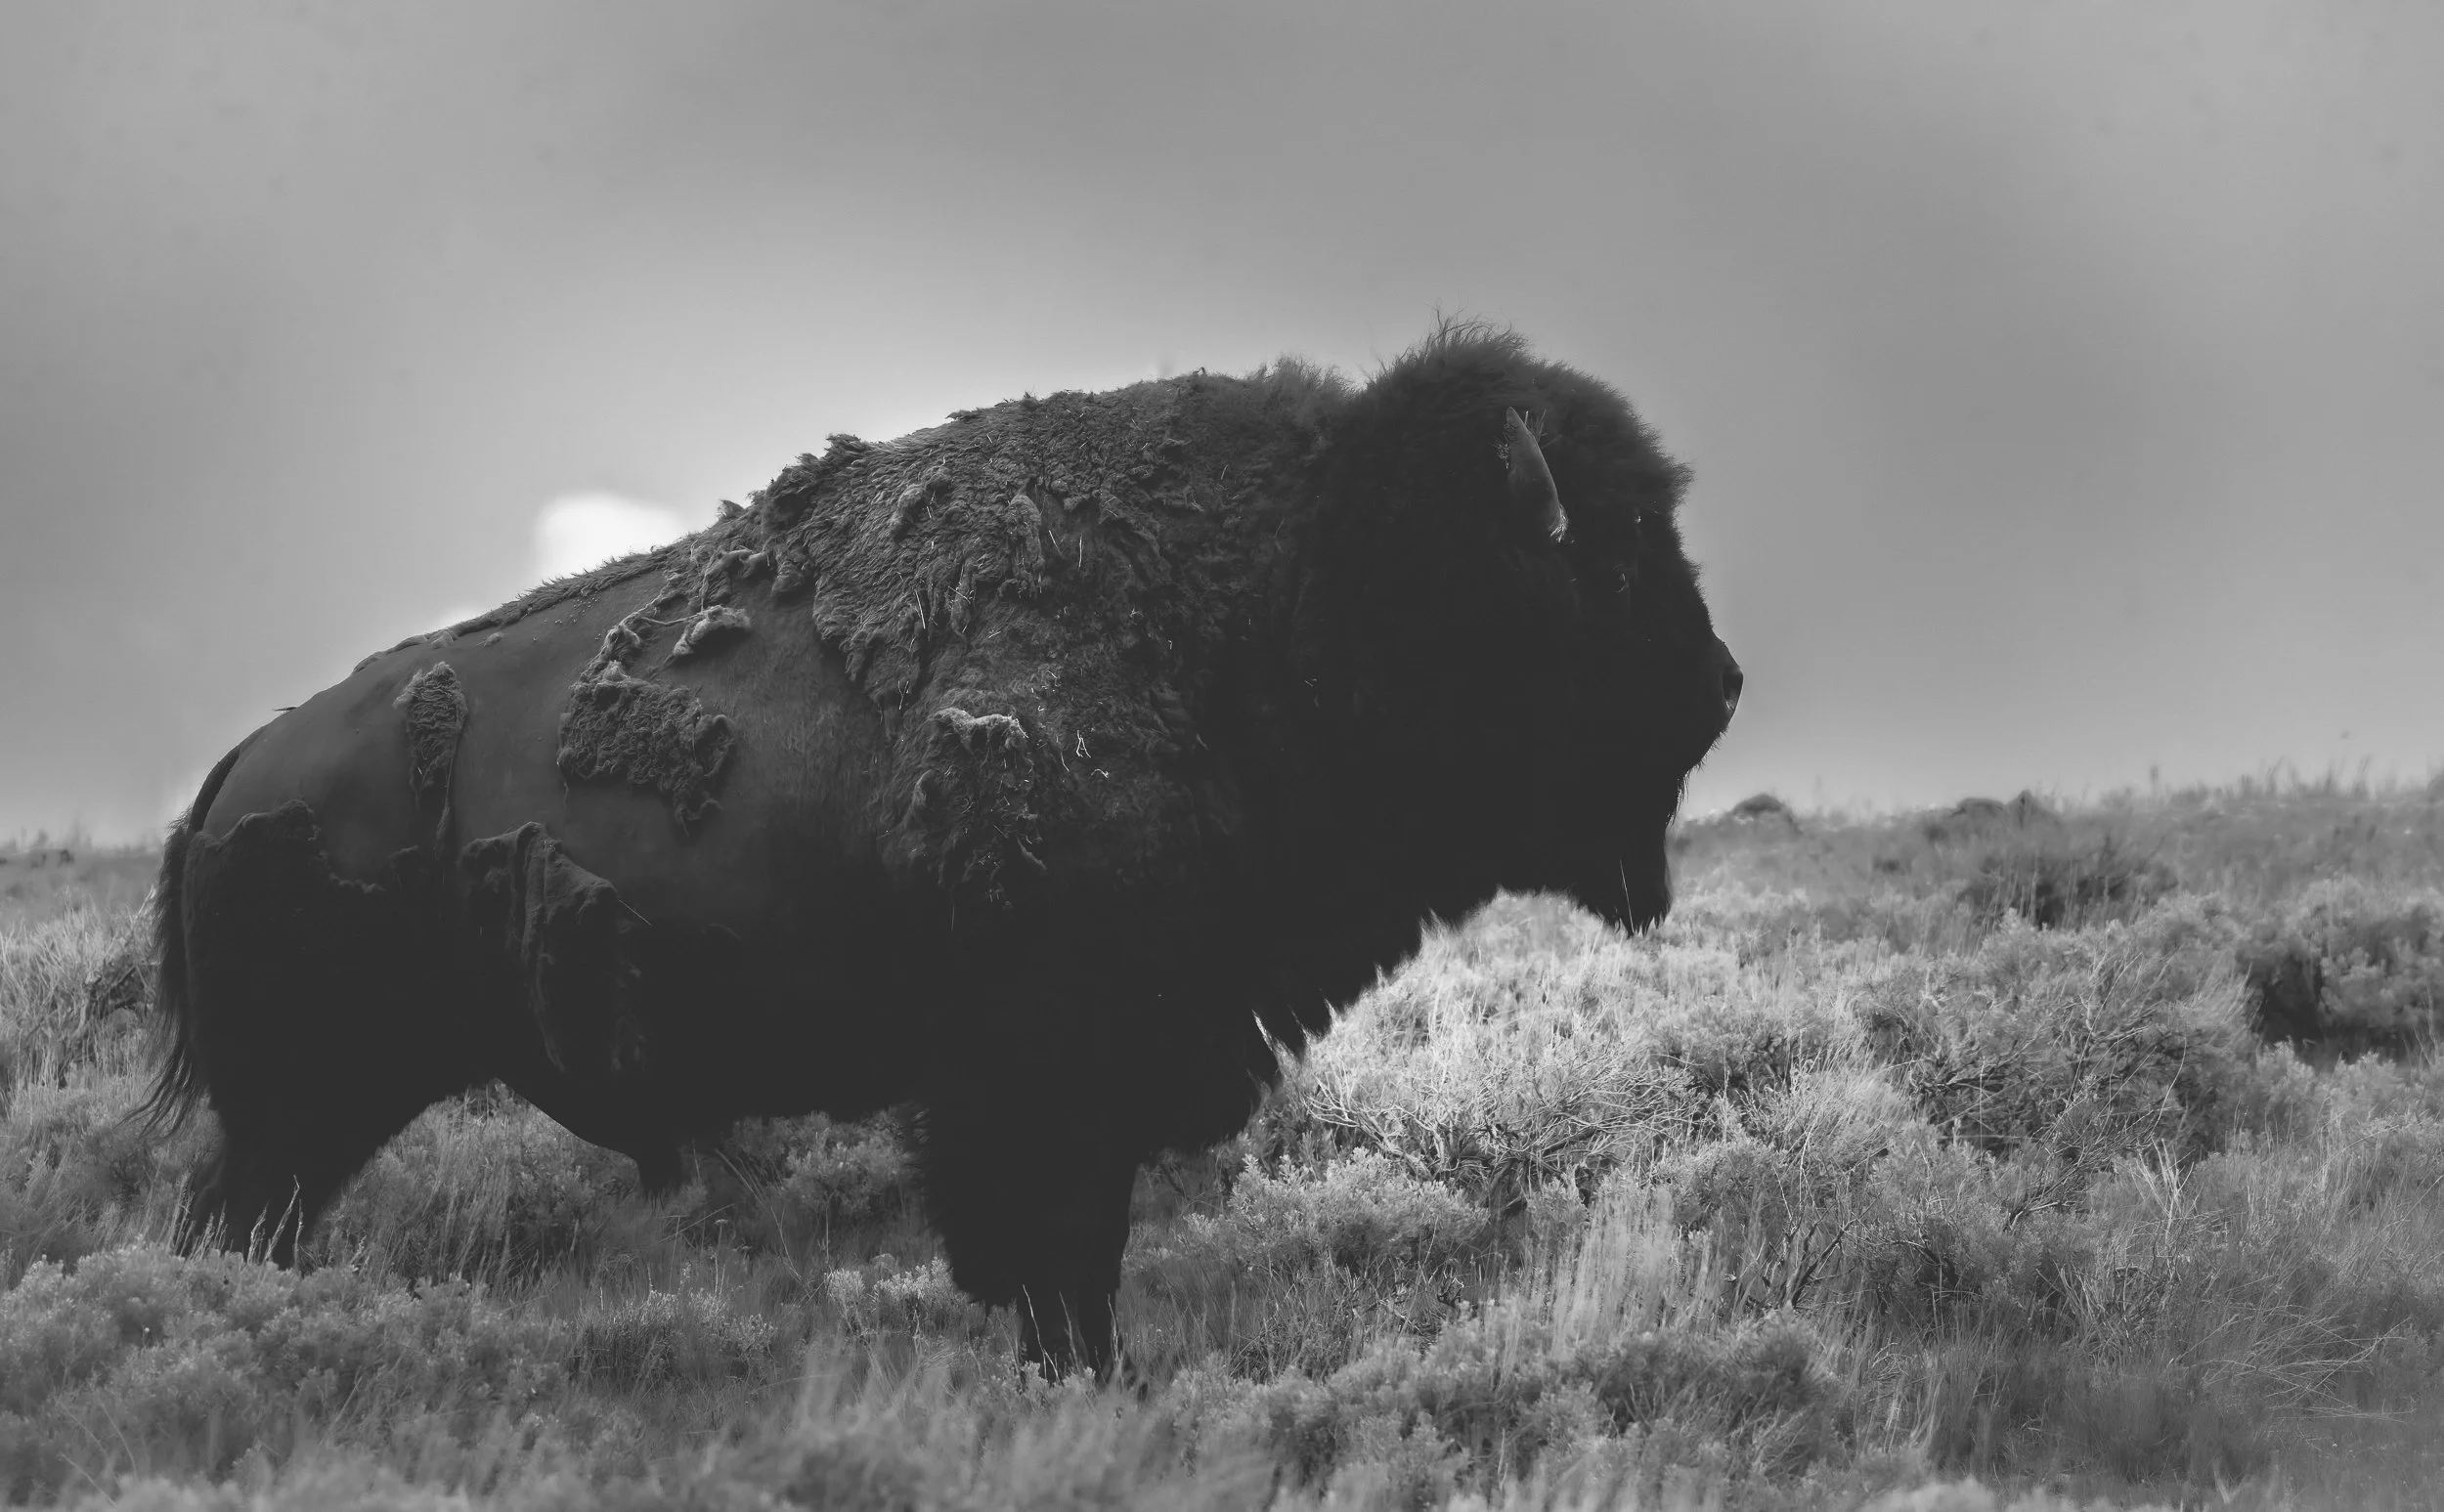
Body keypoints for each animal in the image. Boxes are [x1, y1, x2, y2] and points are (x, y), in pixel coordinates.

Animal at [147, 324, 1741, 1373]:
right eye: (1605, 559)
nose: (1721, 683)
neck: (1292, 594)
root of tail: (232, 778)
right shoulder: (1040, 1081)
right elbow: (1057, 1262)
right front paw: (1087, 1385)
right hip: (295, 1109)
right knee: (237, 1218)